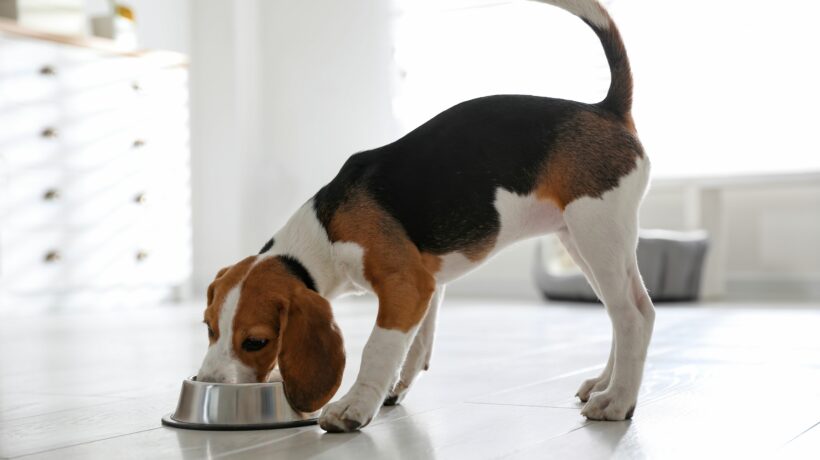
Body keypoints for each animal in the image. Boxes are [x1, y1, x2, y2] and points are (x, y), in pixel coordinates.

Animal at [197, 0, 652, 432]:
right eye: (209, 327)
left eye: (256, 342)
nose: (206, 383)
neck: (323, 231)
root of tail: (606, 108)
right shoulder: (427, 284)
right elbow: (416, 345)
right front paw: (392, 389)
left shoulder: (405, 285)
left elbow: (377, 347)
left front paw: (354, 407)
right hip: (580, 239)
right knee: (620, 313)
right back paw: (604, 383)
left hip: (597, 232)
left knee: (634, 315)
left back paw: (616, 401)